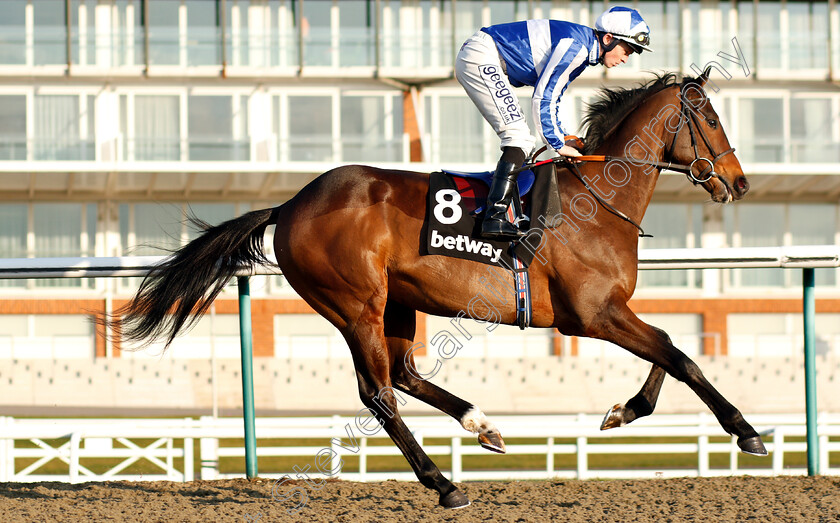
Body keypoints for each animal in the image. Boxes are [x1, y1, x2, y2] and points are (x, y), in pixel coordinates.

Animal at [115, 71, 764, 510]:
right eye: (709, 118)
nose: (738, 183)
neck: (598, 199)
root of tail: (291, 204)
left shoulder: (609, 310)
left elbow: (671, 347)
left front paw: (625, 411)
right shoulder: (591, 315)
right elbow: (679, 356)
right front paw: (745, 431)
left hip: (397, 302)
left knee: (403, 375)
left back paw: (482, 424)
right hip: (355, 305)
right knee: (378, 393)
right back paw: (444, 484)